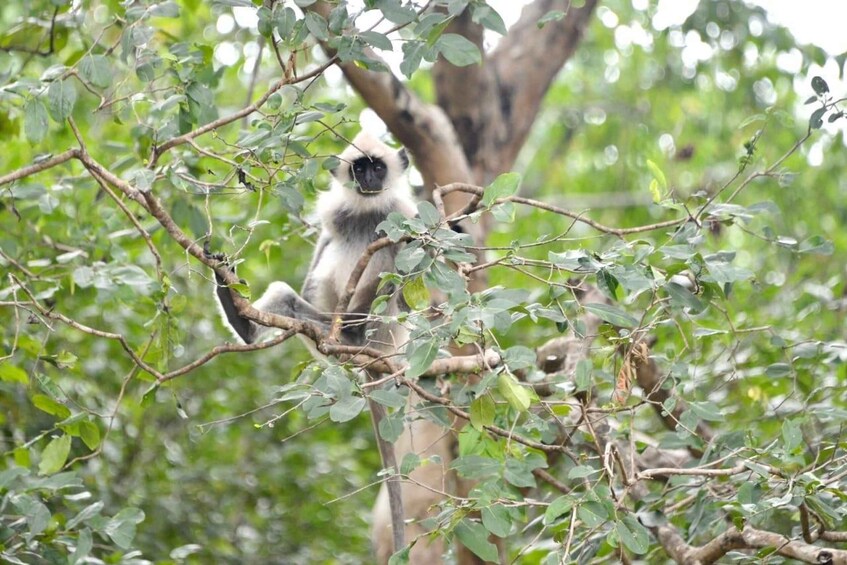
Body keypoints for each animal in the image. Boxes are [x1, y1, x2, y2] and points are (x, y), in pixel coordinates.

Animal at [214, 132, 416, 350]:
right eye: (359, 169)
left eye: (378, 168)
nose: (368, 179)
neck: (368, 212)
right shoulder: (334, 215)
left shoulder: (406, 214)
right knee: (286, 297)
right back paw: (243, 325)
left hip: (381, 335)